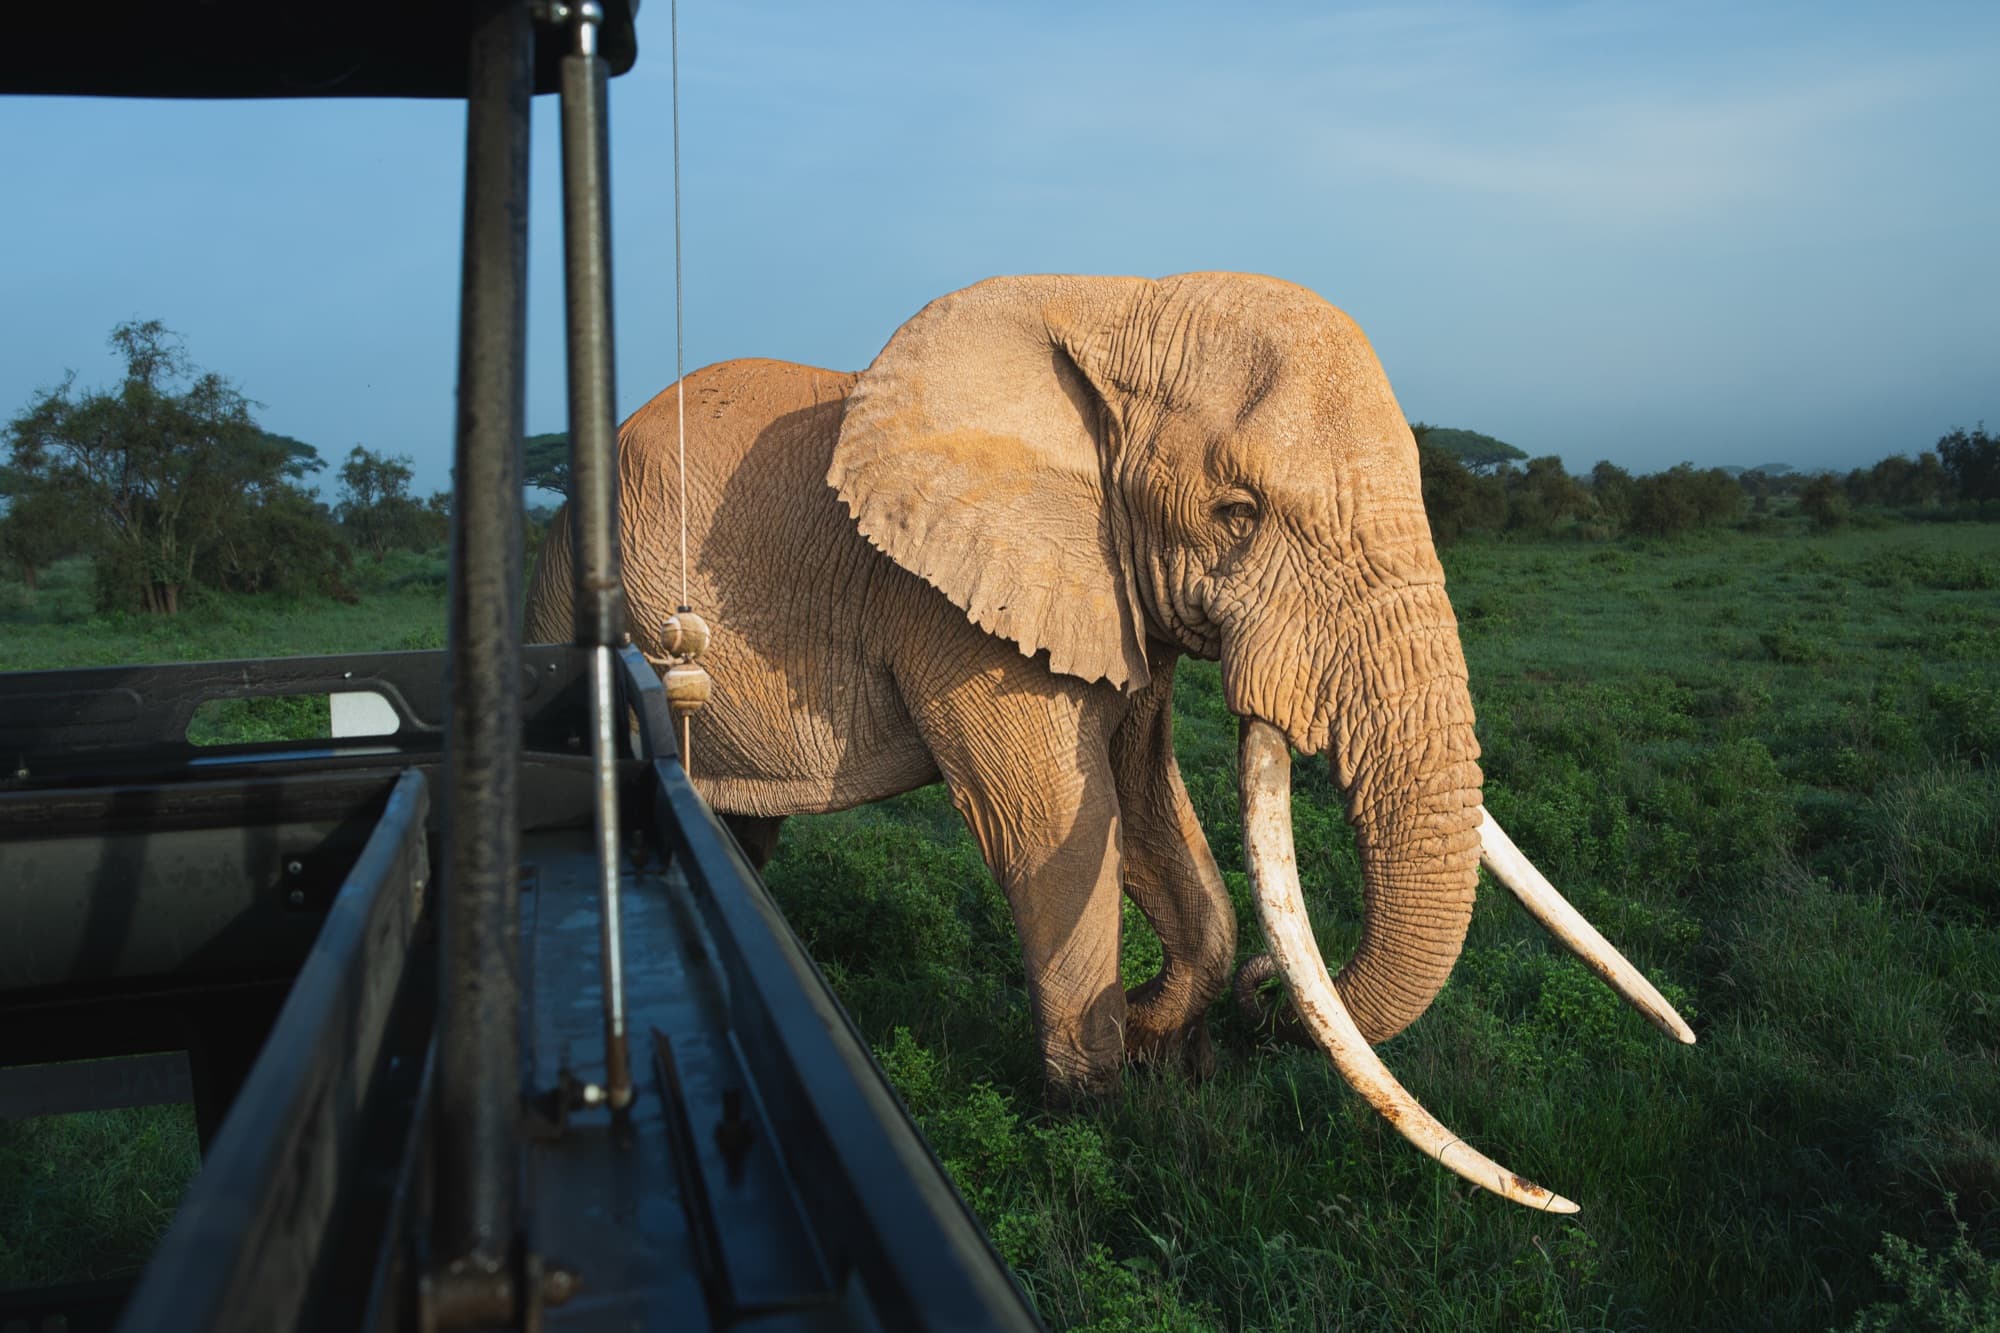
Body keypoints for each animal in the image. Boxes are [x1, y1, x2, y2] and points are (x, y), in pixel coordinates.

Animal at [527, 272, 1693, 1211]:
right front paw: (1093, 1110)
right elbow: (1043, 815)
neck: (1114, 302)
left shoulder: (1115, 590)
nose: (1269, 993)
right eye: (1237, 512)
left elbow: (1142, 795)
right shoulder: (955, 609)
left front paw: (1164, 1043)